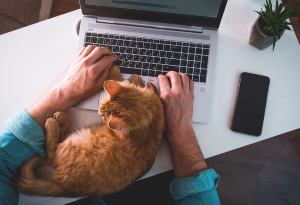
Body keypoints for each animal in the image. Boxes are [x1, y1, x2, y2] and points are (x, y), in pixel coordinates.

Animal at [15, 65, 165, 197]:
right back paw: (61, 118)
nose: (102, 119)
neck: (150, 121)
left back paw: (55, 121)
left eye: (103, 118)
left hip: (76, 139)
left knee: (51, 152)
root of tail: (63, 186)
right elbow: (129, 82)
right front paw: (133, 77)